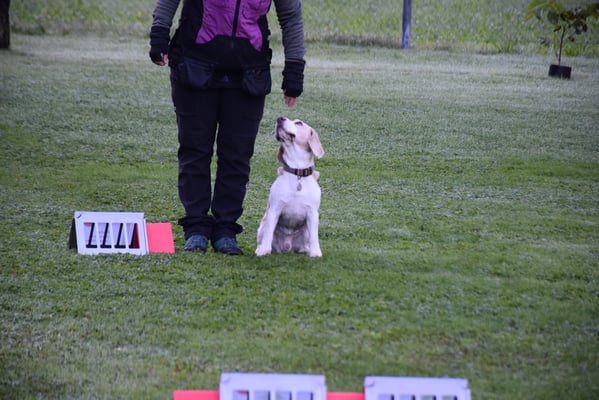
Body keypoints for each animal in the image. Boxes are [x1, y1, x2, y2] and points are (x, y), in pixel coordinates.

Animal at [255, 116, 325, 257]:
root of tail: (287, 246)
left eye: (299, 123)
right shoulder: (274, 209)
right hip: (262, 226)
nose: (280, 118)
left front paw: (315, 253)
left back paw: (306, 249)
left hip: (305, 232)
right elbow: (268, 233)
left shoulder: (313, 213)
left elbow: (315, 237)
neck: (297, 173)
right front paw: (264, 250)